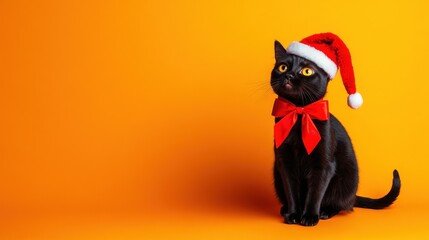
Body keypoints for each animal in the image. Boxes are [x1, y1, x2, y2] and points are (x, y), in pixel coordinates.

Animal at [270, 40, 398, 227]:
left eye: (306, 71)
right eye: (283, 67)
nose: (290, 75)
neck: (300, 113)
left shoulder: (324, 165)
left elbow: (315, 193)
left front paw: (309, 217)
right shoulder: (284, 162)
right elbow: (292, 191)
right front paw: (293, 214)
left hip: (345, 182)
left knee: (342, 204)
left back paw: (325, 212)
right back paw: (285, 209)